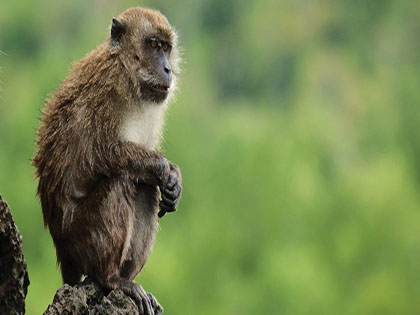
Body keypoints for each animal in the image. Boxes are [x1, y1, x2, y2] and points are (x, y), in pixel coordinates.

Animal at [31, 7, 182, 315]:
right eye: (153, 45)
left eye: (166, 48)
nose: (167, 69)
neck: (127, 68)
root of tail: (62, 253)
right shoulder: (109, 88)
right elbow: (102, 153)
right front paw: (164, 168)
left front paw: (174, 182)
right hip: (78, 240)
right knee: (120, 180)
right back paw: (110, 278)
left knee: (144, 188)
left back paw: (126, 280)